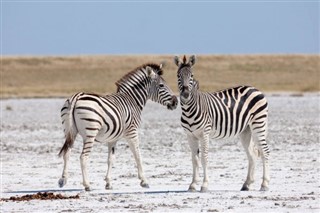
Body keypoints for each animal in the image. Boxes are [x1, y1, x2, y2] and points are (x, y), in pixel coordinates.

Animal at [57, 62, 178, 191]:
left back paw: (63, 180)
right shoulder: (132, 132)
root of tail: (77, 97)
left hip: (70, 131)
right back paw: (87, 185)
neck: (133, 100)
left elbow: (111, 159)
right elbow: (138, 155)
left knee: (67, 153)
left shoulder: (113, 138)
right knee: (83, 157)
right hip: (90, 132)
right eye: (161, 85)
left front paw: (108, 183)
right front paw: (144, 181)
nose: (176, 102)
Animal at [175, 55, 270, 193]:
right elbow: (194, 160)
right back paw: (247, 184)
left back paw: (265, 184)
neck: (189, 109)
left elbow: (204, 158)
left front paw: (204, 185)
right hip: (246, 130)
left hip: (259, 124)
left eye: (192, 75)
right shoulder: (190, 135)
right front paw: (192, 185)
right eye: (178, 75)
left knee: (265, 151)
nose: (185, 95)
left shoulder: (204, 133)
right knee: (252, 154)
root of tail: (256, 89)